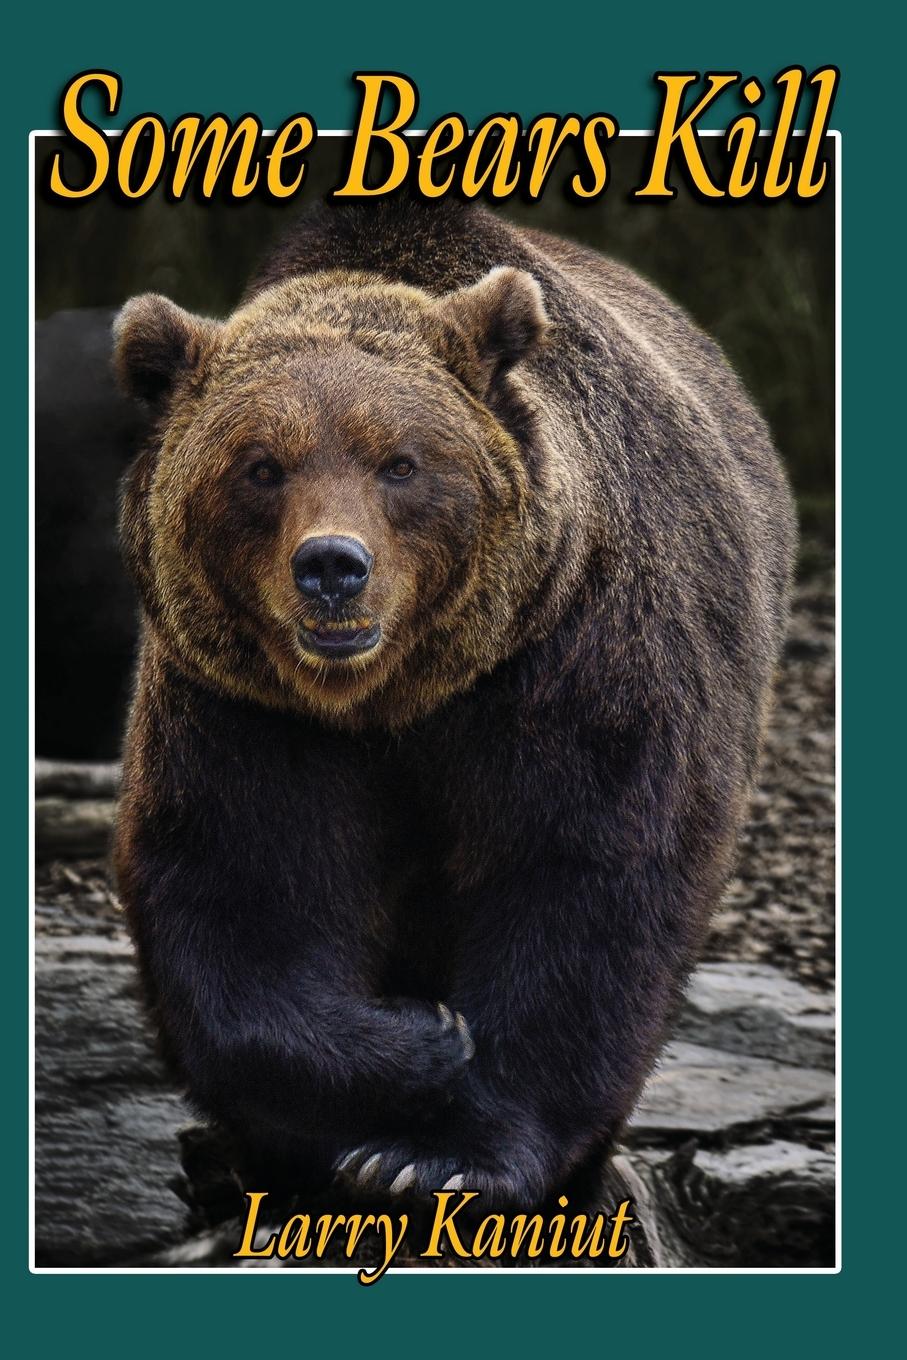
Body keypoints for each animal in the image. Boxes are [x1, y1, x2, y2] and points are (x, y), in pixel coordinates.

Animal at [111, 199, 796, 1209]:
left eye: (399, 463)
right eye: (260, 466)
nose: (332, 568)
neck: (397, 697)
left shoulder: (577, 664)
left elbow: (584, 876)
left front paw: (443, 1154)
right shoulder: (244, 706)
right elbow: (241, 887)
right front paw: (417, 1048)